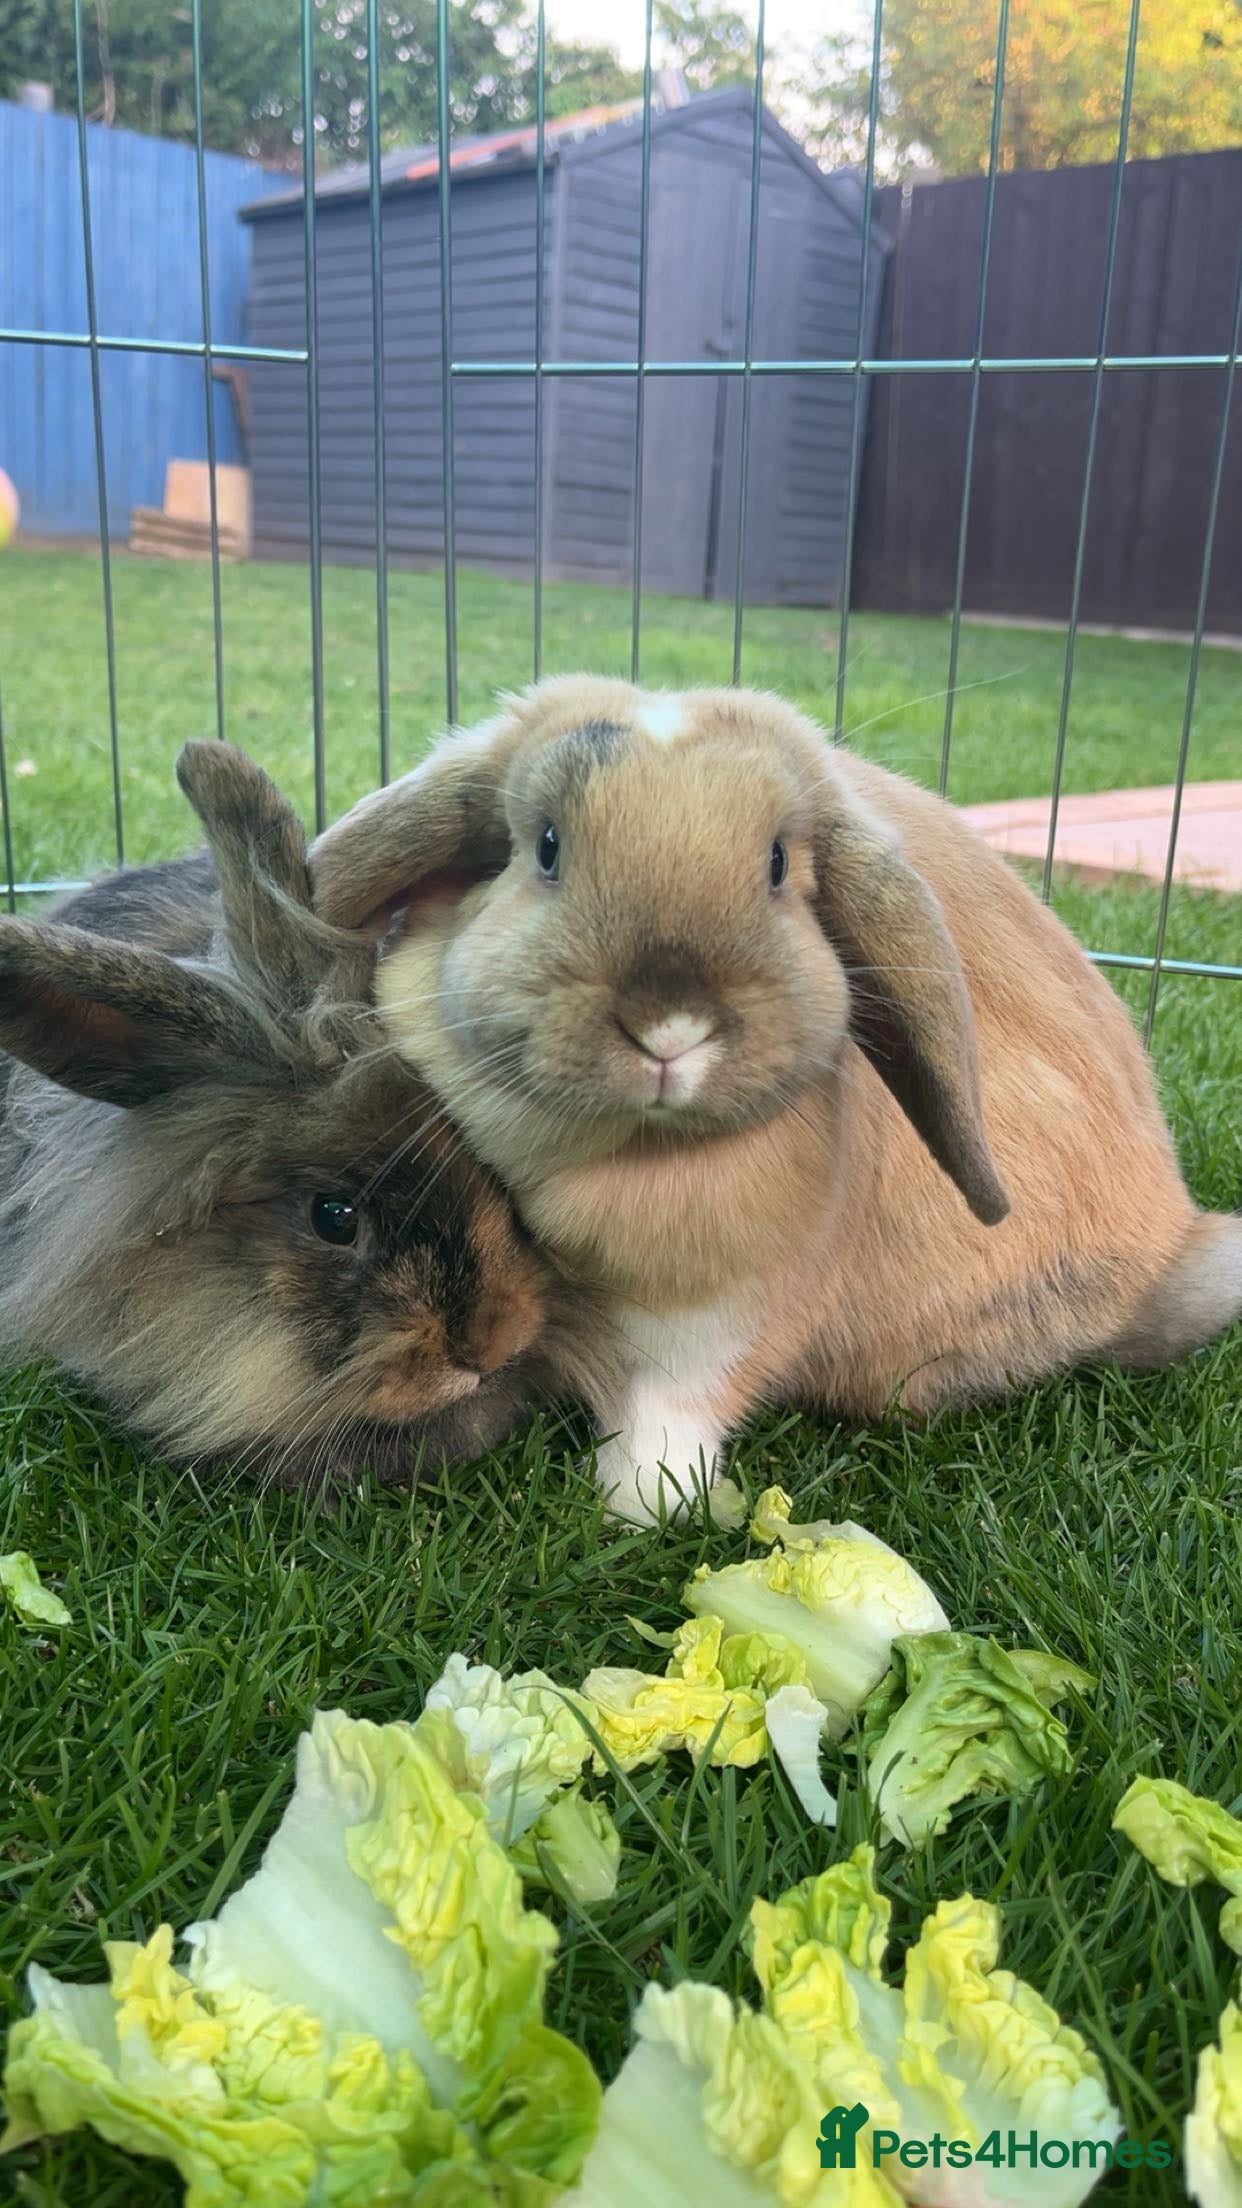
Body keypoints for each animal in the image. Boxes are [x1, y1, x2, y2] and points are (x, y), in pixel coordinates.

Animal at [308, 677, 1242, 1522]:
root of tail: (1177, 1248)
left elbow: (668, 1418)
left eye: (779, 865)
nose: (670, 1025)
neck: (629, 1158)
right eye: (545, 846)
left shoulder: (723, 1319)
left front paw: (643, 1508)